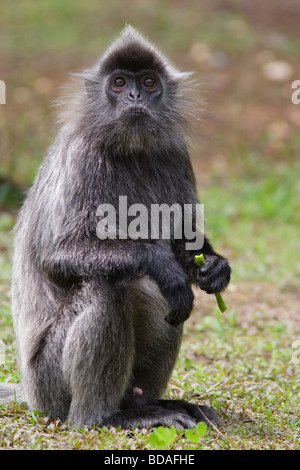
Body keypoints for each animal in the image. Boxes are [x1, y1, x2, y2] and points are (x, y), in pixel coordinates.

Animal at [0, 26, 231, 430]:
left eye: (149, 83)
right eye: (120, 83)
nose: (136, 96)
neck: (131, 151)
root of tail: (31, 394)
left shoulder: (175, 155)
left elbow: (184, 240)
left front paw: (214, 267)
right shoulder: (83, 157)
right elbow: (56, 257)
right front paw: (163, 266)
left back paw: (147, 405)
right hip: (49, 383)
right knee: (108, 287)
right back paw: (104, 418)